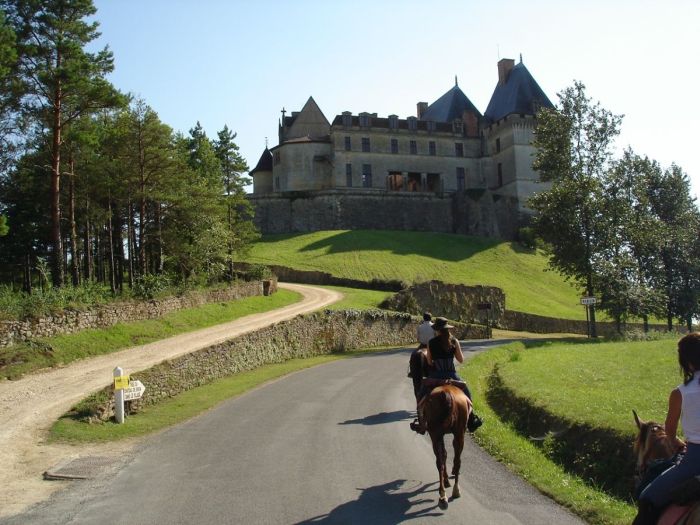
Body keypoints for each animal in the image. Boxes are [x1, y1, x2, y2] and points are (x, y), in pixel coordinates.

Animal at [422, 380, 470, 508]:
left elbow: (443, 455)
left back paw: (443, 494)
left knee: (440, 462)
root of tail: (446, 394)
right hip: (458, 434)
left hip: (436, 435)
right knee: (456, 461)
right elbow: (446, 456)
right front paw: (448, 478)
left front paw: (446, 480)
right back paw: (454, 491)